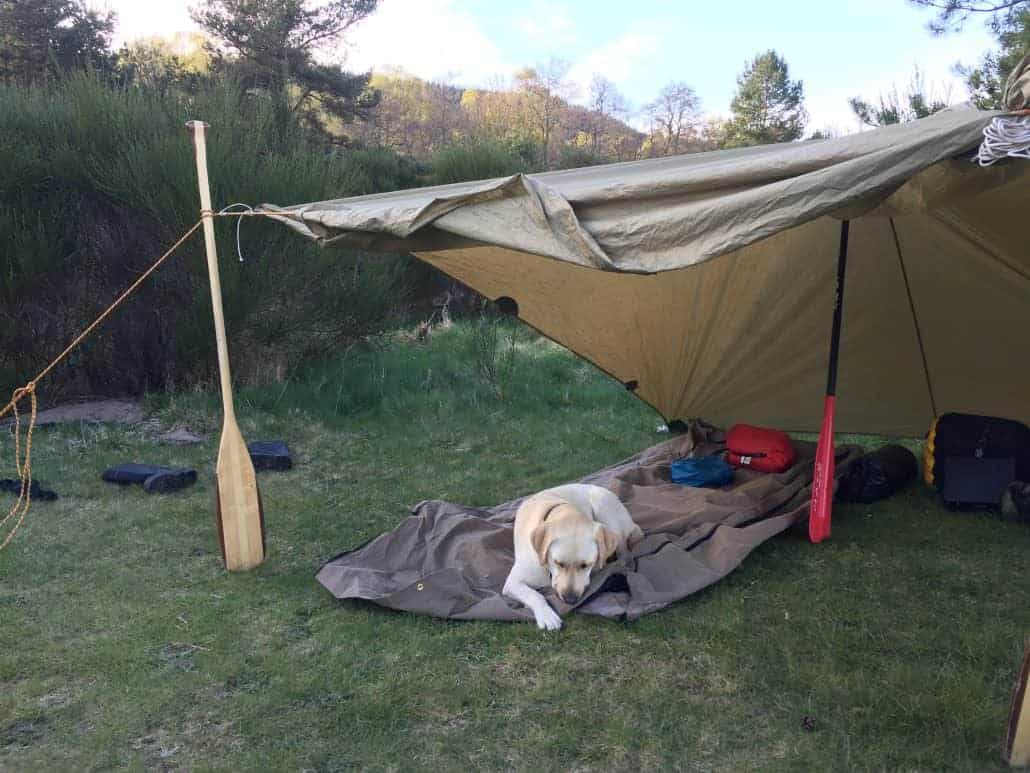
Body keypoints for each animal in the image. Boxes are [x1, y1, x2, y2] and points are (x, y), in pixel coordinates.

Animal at [500, 486, 638, 630]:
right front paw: (547, 616)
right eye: (558, 563)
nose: (570, 600)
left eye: (585, 565)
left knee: (626, 555)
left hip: (603, 506)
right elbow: (535, 595)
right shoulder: (513, 582)